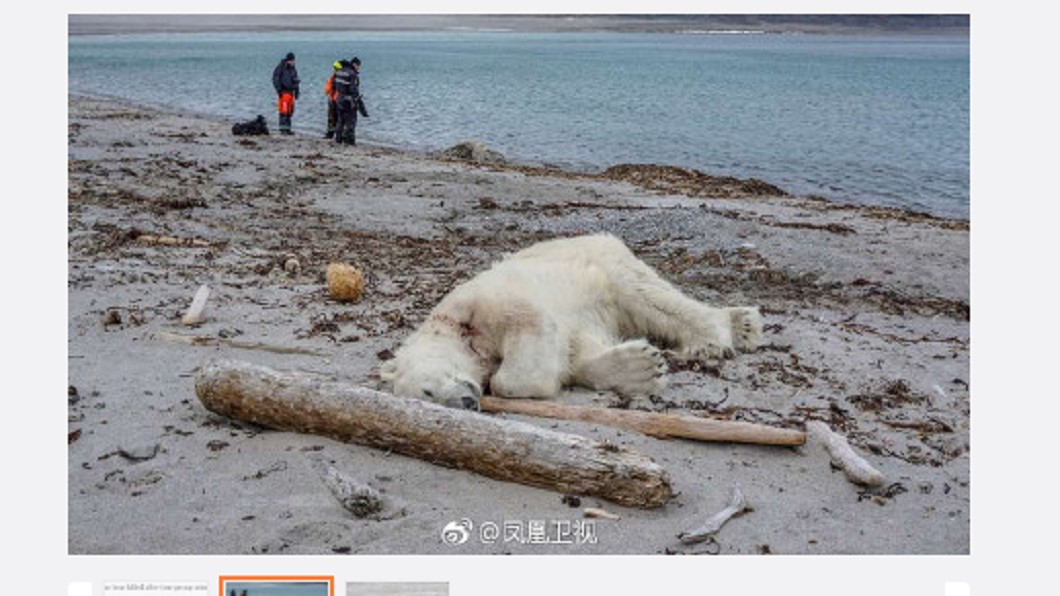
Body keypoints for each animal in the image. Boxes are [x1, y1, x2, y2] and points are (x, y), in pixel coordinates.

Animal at [379, 233, 763, 410]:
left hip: (605, 263)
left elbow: (528, 328)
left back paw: (717, 336)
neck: (454, 330)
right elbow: (577, 352)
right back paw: (743, 325)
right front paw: (641, 366)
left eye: (428, 390)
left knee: (650, 297)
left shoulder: (482, 303)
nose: (466, 402)